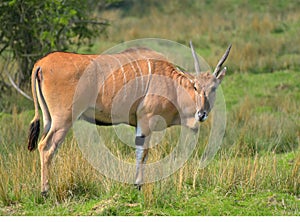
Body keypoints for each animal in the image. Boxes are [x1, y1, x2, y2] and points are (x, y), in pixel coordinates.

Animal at [27, 41, 231, 194]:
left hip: (49, 119)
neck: (172, 83)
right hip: (63, 120)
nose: (201, 113)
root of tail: (41, 63)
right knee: (46, 147)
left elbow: (140, 152)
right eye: (196, 87)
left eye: (213, 88)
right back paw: (45, 191)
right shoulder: (146, 120)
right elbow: (143, 153)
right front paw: (138, 185)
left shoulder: (139, 124)